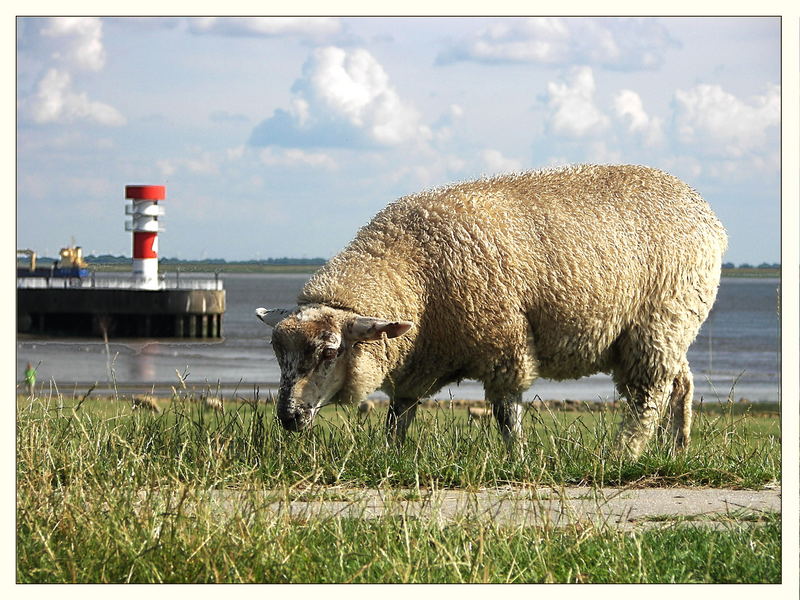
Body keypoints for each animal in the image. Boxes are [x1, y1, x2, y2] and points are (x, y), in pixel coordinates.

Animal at [255, 164, 724, 460]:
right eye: (278, 355)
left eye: (331, 352)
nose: (289, 418)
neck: (413, 273)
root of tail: (708, 215)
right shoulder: (417, 362)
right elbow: (398, 416)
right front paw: (391, 455)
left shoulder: (504, 346)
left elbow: (505, 415)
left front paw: (517, 458)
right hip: (664, 328)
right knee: (680, 384)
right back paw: (676, 448)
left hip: (659, 321)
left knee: (648, 398)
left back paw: (623, 454)